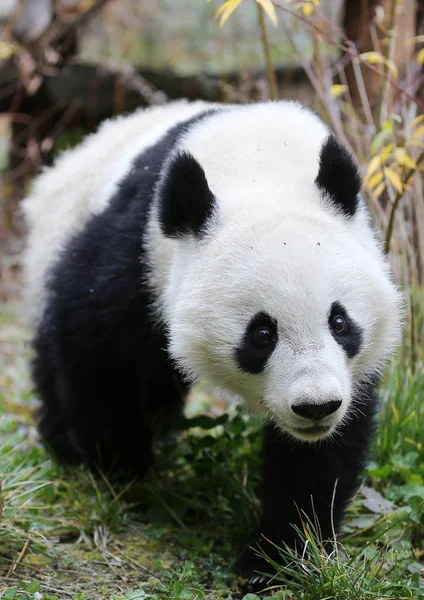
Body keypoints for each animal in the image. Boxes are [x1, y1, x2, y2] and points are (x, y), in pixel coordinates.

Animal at [21, 99, 402, 584]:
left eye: (339, 322)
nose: (315, 407)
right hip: (52, 242)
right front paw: (120, 464)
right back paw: (68, 441)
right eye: (262, 333)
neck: (260, 163)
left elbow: (324, 453)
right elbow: (96, 343)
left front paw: (279, 557)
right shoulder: (140, 251)